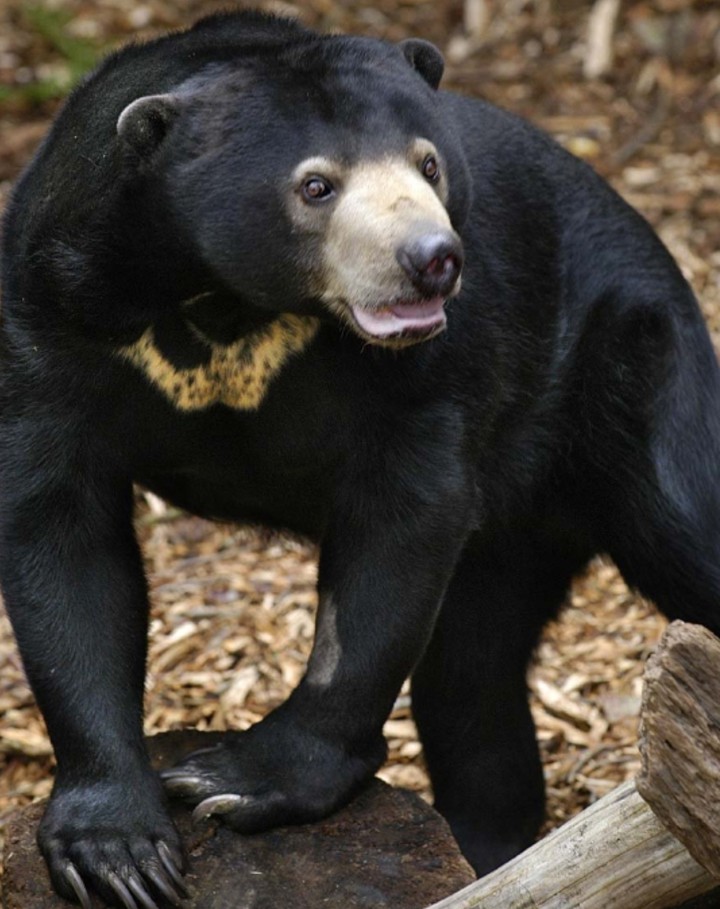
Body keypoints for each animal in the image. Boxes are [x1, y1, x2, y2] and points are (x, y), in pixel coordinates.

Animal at [1, 9, 720, 909]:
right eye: (316, 186)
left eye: (430, 163)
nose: (432, 259)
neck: (230, 306)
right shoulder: (54, 313)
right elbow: (60, 532)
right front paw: (116, 853)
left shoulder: (441, 364)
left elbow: (397, 533)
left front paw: (229, 780)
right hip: (513, 528)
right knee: (470, 680)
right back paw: (489, 848)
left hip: (627, 362)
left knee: (681, 522)